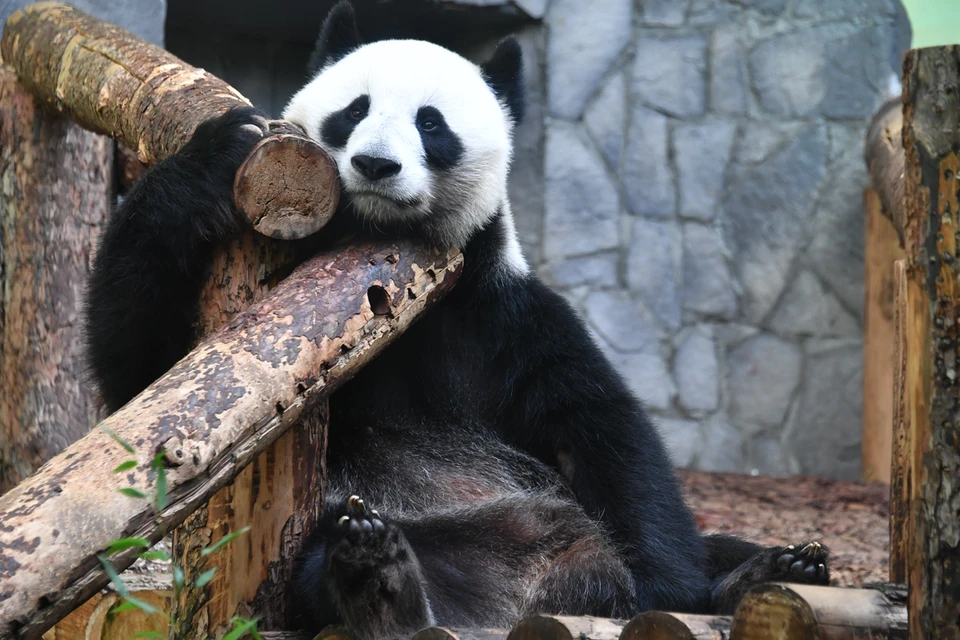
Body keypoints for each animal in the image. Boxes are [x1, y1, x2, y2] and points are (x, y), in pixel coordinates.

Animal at [84, 2, 832, 636]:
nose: (375, 164)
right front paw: (211, 162)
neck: (372, 245)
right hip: (404, 529)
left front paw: (668, 587)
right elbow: (155, 384)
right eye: (353, 110)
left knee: (709, 542)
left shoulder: (503, 320)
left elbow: (605, 431)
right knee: (328, 557)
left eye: (431, 123)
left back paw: (770, 569)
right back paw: (377, 577)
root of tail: (538, 585)